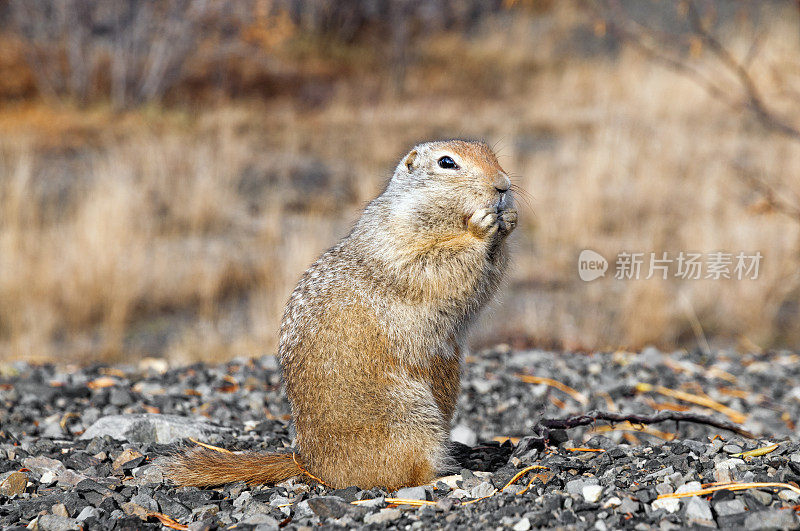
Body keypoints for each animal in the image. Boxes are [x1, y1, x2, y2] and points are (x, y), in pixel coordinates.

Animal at [168, 138, 520, 490]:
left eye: (491, 153)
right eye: (447, 163)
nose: (503, 185)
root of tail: (311, 464)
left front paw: (509, 221)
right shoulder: (397, 242)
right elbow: (432, 264)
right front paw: (480, 229)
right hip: (408, 420)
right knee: (404, 475)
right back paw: (446, 477)